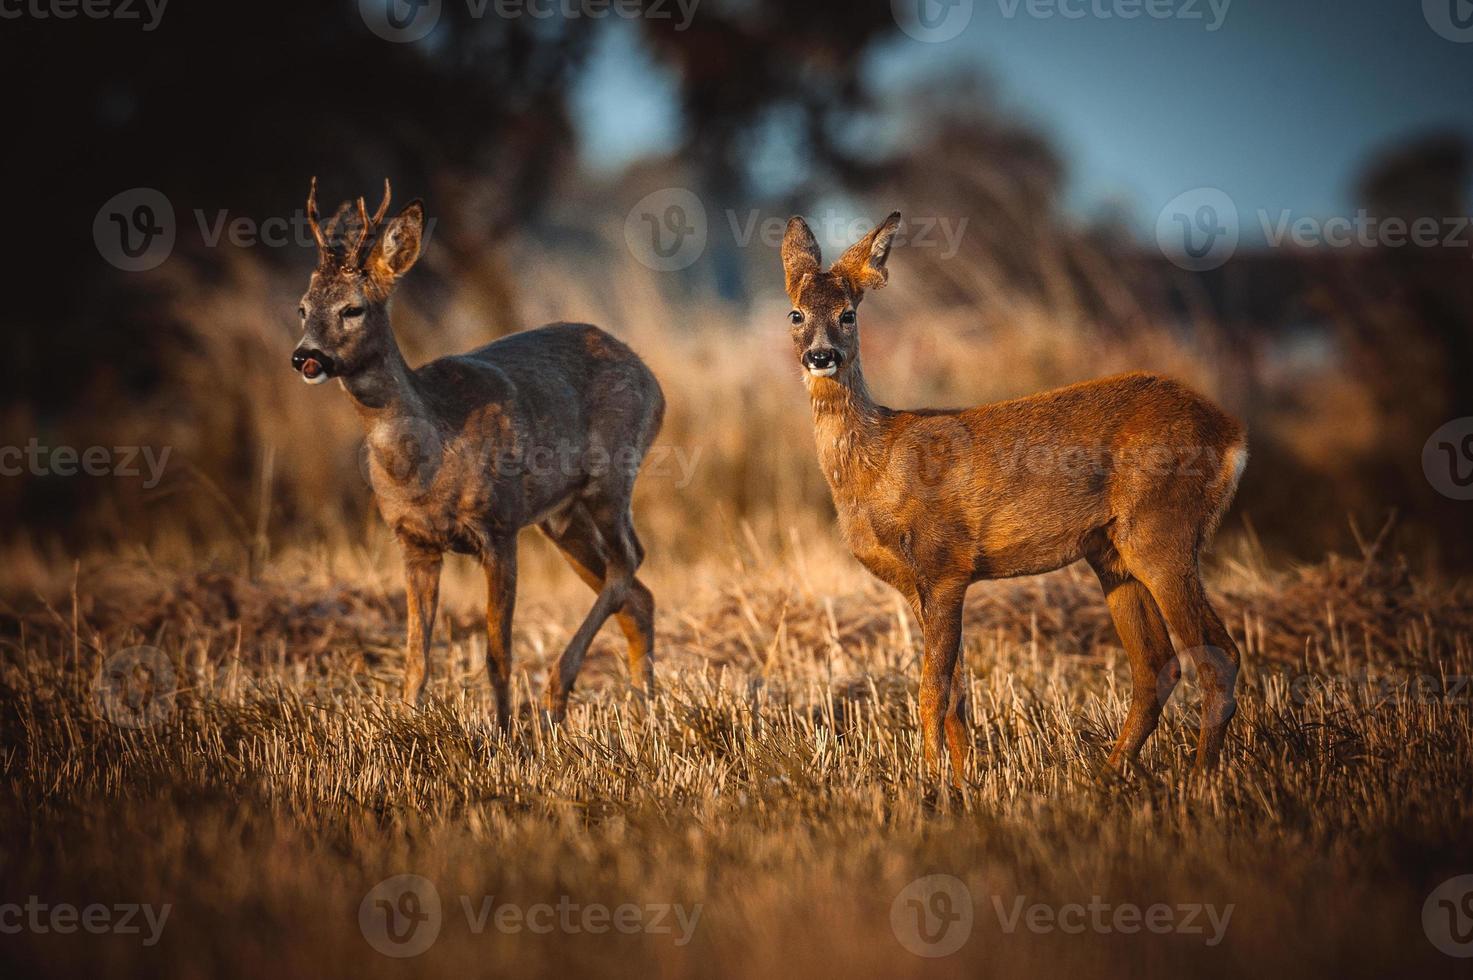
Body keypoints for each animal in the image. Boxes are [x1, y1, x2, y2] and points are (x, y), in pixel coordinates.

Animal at [293, 177, 662, 725]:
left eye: (352, 308)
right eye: (302, 307)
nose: (305, 357)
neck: (425, 461)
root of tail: (653, 380)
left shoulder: (499, 526)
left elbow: (498, 653)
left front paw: (504, 733)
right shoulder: (414, 542)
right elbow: (416, 657)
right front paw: (406, 726)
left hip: (611, 479)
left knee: (630, 562)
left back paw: (558, 693)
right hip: (561, 518)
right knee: (639, 596)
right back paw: (640, 710)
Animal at [777, 213, 1249, 789]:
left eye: (848, 314)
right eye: (796, 312)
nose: (821, 356)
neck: (878, 464)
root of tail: (1232, 436)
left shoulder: (945, 563)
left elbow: (932, 692)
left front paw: (929, 784)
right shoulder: (917, 585)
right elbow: (956, 697)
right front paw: (962, 784)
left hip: (1163, 530)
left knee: (1217, 655)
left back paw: (1199, 781)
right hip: (1113, 552)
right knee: (1157, 664)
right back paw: (1105, 776)